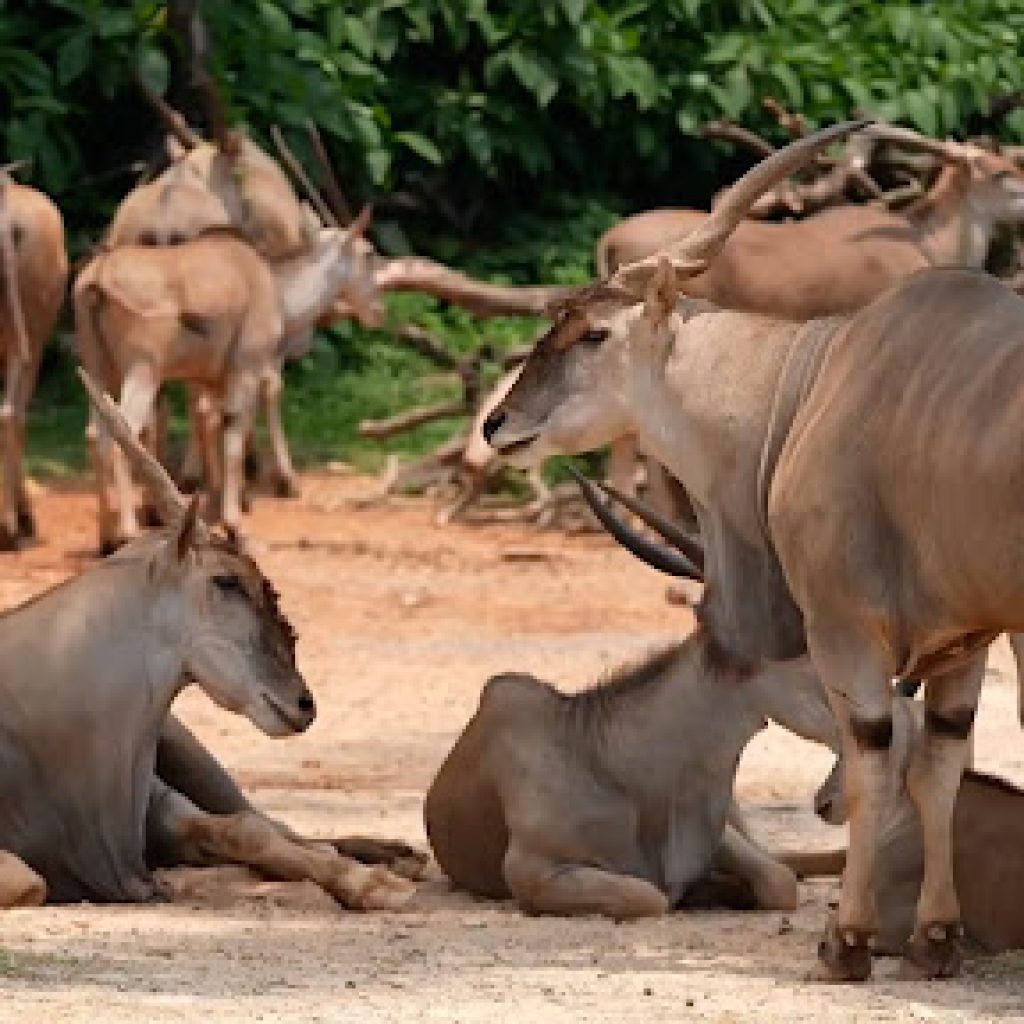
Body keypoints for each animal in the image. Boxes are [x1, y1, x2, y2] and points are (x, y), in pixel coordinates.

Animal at [481, 123, 1024, 978]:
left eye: (594, 333)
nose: (498, 424)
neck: (812, 383)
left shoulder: (844, 630)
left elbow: (875, 766)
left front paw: (846, 942)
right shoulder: (965, 641)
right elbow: (942, 768)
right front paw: (936, 940)